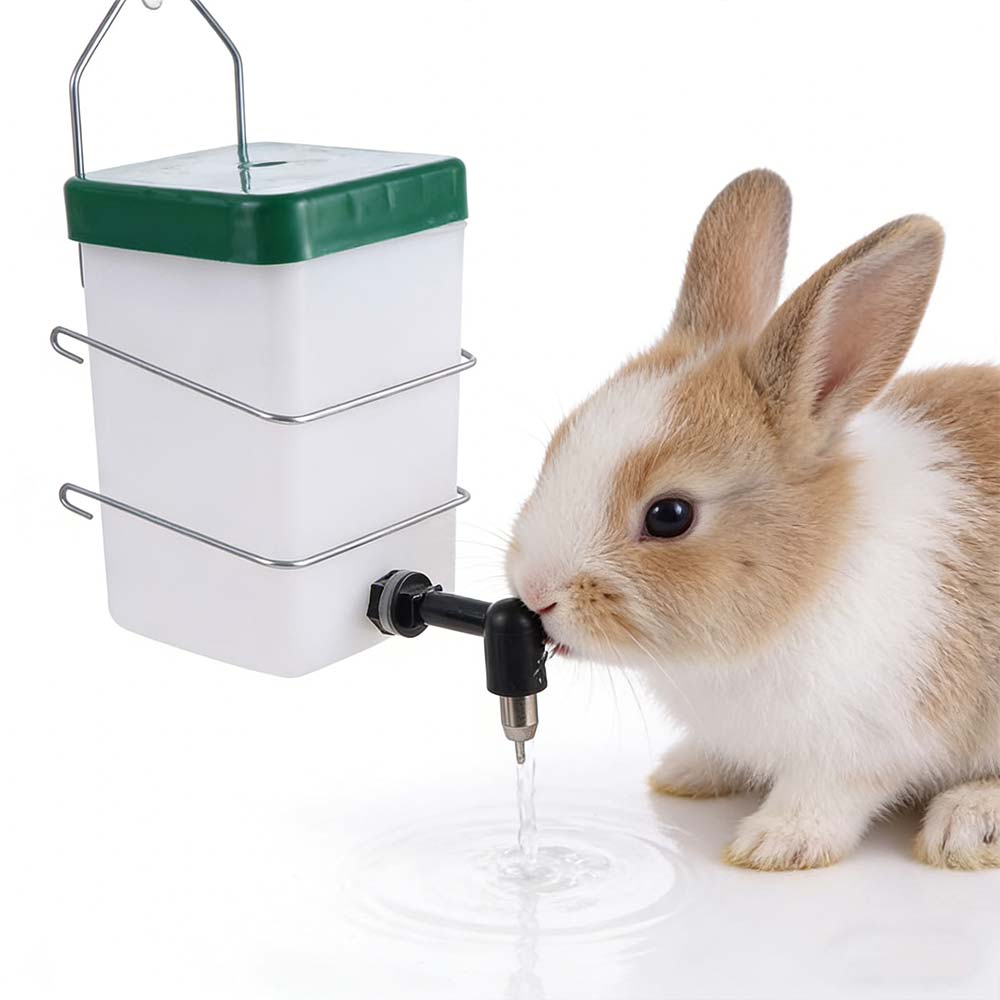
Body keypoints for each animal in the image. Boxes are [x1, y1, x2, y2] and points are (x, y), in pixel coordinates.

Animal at [506, 169, 1000, 871]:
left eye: (670, 515)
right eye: (559, 443)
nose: (536, 592)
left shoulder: (859, 746)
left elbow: (828, 794)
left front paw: (776, 844)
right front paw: (685, 774)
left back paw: (966, 822)